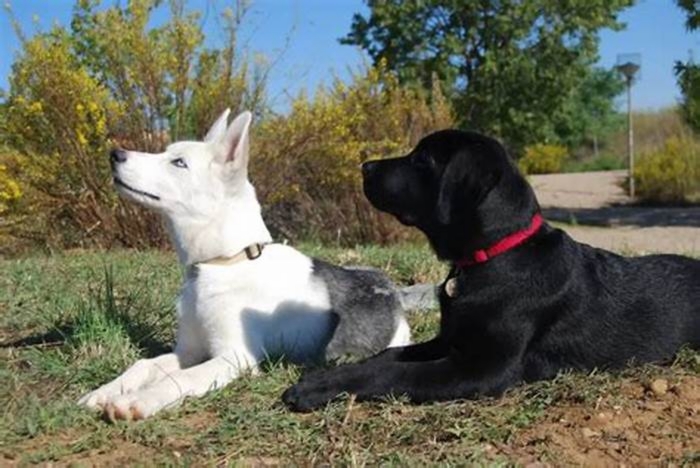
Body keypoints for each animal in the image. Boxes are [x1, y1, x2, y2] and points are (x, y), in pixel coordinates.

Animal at [79, 109, 412, 420]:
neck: (224, 263)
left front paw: (138, 400)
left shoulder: (233, 358)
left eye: (179, 163)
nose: (115, 154)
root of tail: (391, 292)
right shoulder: (188, 350)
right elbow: (144, 364)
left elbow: (182, 378)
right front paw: (106, 391)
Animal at [280, 130, 700, 412]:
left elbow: (396, 374)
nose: (365, 166)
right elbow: (388, 356)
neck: (493, 256)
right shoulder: (449, 339)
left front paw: (313, 391)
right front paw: (323, 377)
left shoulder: (482, 367)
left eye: (422, 161)